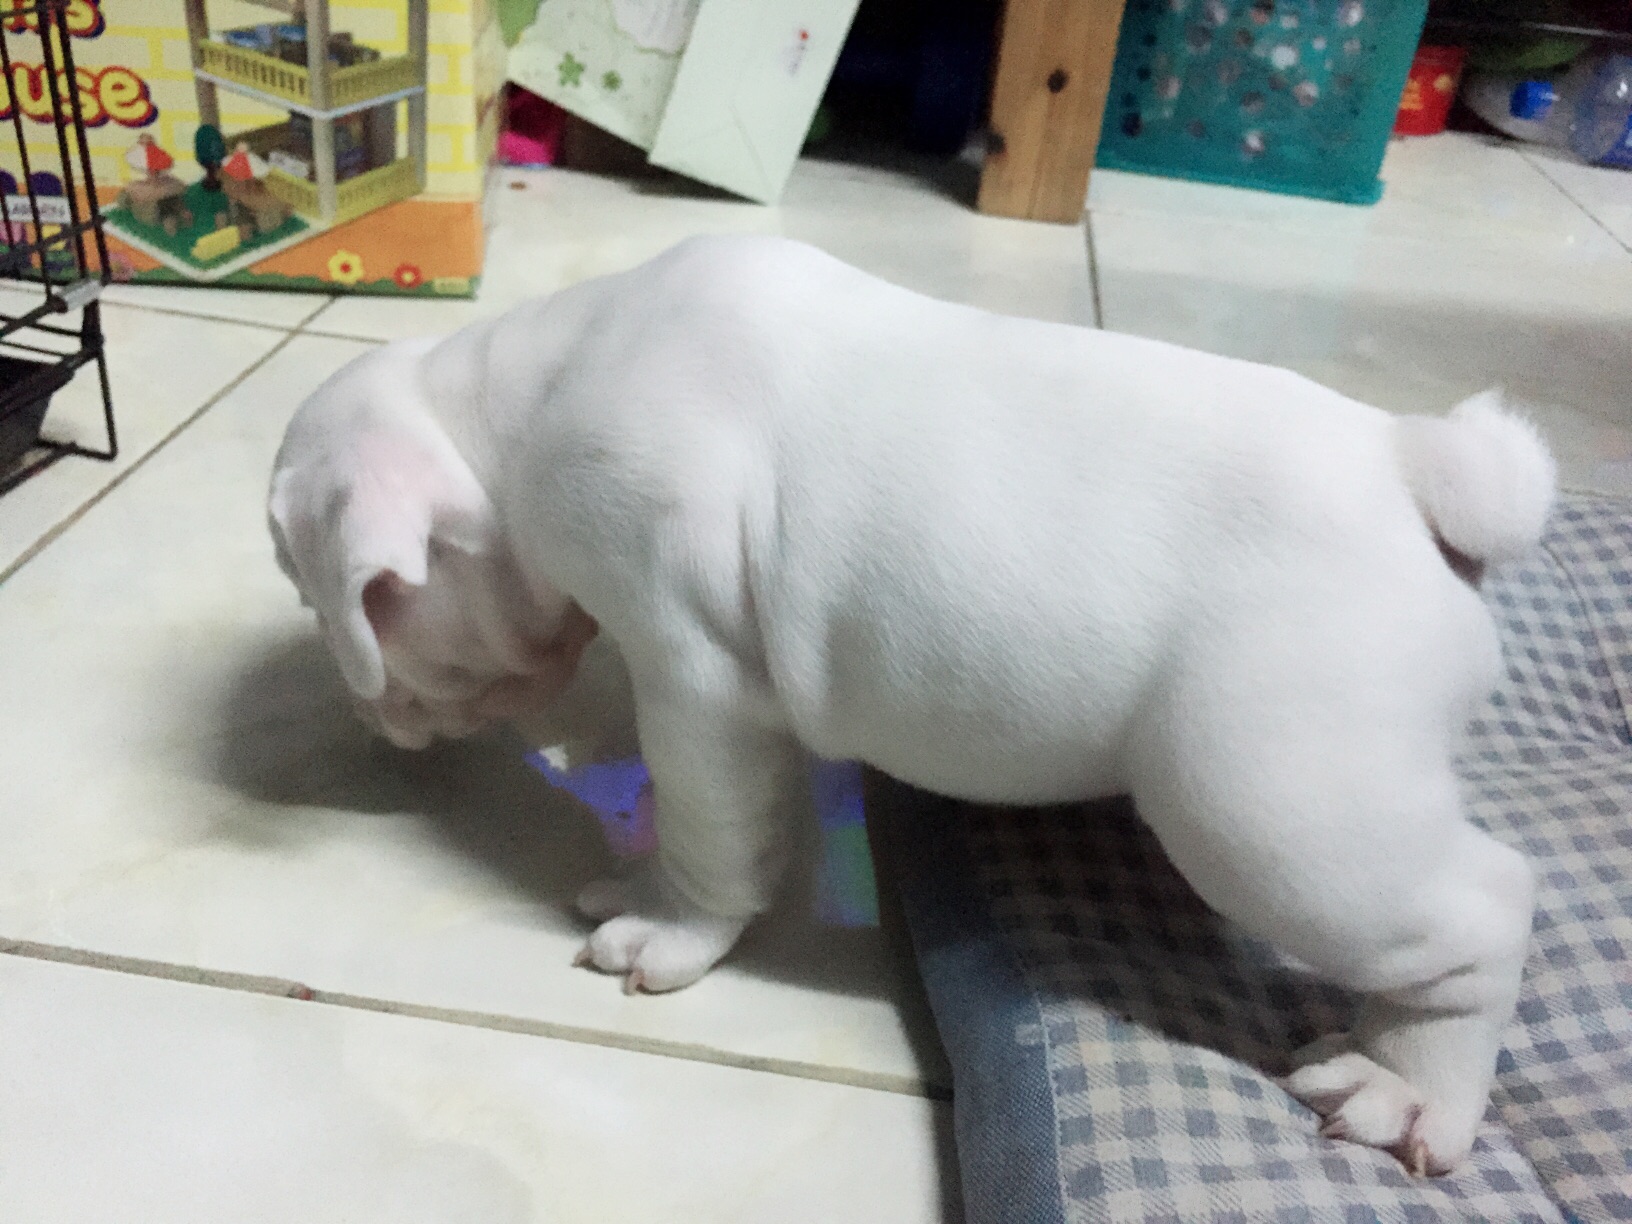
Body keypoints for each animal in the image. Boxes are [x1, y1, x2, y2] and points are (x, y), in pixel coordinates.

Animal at [270, 234, 1555, 1175]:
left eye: (318, 593)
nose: (357, 706)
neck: (511, 410)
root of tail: (1413, 468)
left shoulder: (695, 676)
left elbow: (705, 824)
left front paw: (663, 920)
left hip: (1270, 803)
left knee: (1479, 915)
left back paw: (1404, 1087)